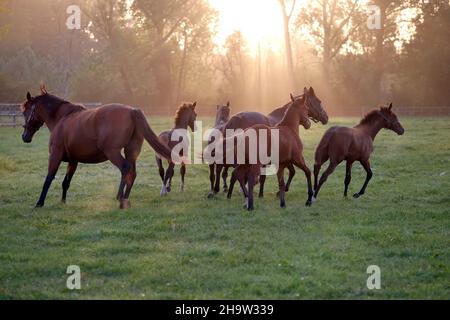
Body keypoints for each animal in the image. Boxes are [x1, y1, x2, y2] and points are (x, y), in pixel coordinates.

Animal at [20, 86, 172, 209]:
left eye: (26, 111)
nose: (25, 136)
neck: (62, 118)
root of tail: (131, 111)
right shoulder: (73, 161)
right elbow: (65, 182)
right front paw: (62, 202)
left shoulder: (54, 156)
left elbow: (48, 179)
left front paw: (39, 203)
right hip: (131, 152)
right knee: (132, 173)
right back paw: (126, 199)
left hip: (113, 153)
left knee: (125, 168)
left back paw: (120, 198)